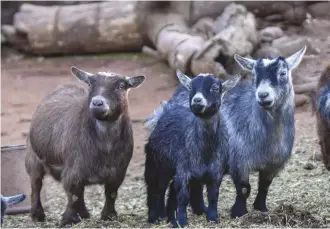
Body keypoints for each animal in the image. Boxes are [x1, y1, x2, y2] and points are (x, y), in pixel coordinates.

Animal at [24, 66, 146, 225]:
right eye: (90, 84)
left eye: (120, 86)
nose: (97, 103)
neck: (105, 147)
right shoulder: (73, 170)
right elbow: (74, 194)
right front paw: (69, 219)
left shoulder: (118, 172)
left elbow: (111, 194)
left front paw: (109, 216)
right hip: (33, 157)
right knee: (36, 185)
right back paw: (37, 215)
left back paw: (84, 214)